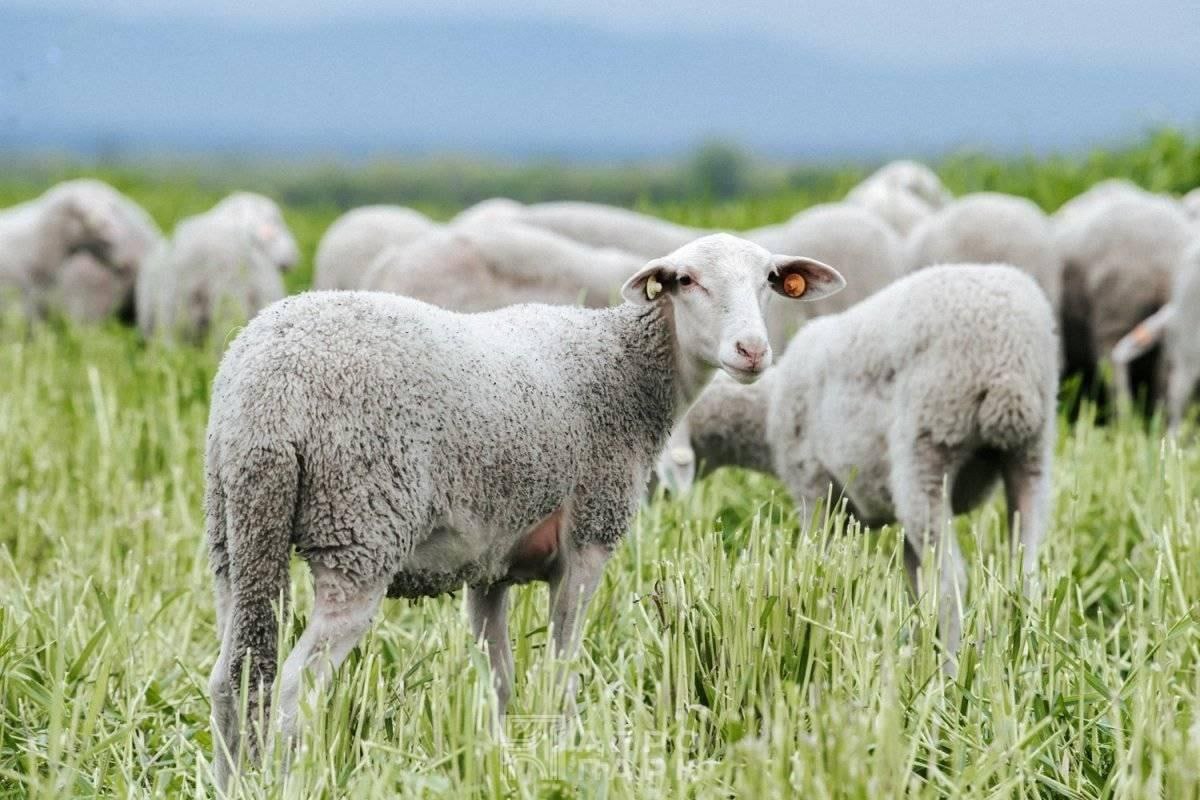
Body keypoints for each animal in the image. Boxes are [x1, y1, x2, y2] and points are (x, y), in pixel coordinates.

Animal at [203, 233, 846, 788]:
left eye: (768, 281)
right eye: (685, 281)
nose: (752, 352)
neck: (628, 369)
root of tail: (265, 396)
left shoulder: (488, 562)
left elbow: (500, 682)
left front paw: (498, 764)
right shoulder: (589, 538)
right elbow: (561, 675)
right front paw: (563, 760)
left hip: (235, 530)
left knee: (230, 677)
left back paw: (233, 784)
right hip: (360, 529)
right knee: (293, 687)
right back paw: (288, 782)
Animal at [662, 264, 1059, 662]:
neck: (767, 412)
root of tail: (1007, 362)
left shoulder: (814, 487)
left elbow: (819, 564)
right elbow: (915, 580)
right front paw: (916, 647)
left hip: (926, 449)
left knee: (951, 582)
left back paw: (949, 668)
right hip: (1031, 453)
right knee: (1026, 573)